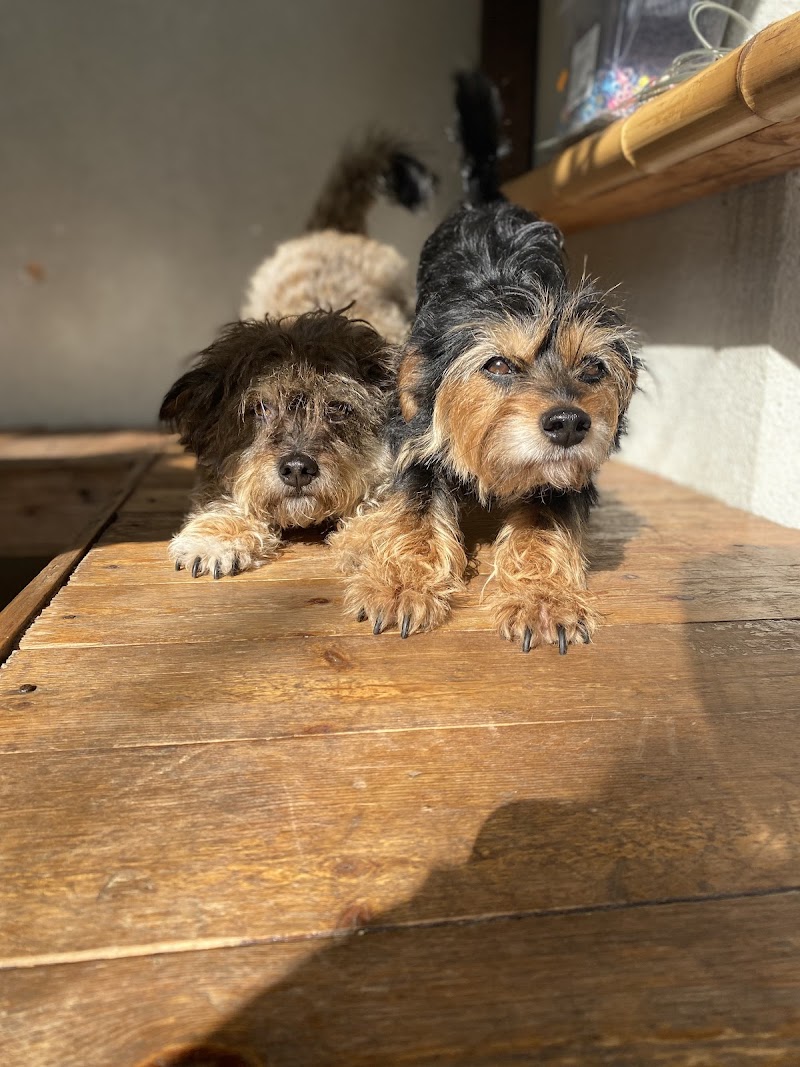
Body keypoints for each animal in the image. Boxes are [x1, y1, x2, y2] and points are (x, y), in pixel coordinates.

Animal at [160, 134, 436, 578]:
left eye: (339, 408)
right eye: (258, 408)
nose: (296, 469)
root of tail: (332, 230)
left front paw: (373, 537)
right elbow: (223, 491)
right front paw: (216, 537)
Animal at [334, 74, 640, 652]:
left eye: (593, 368)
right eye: (497, 366)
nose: (570, 424)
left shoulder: (560, 477)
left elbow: (543, 519)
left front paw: (543, 598)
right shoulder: (418, 431)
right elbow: (414, 506)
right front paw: (401, 583)